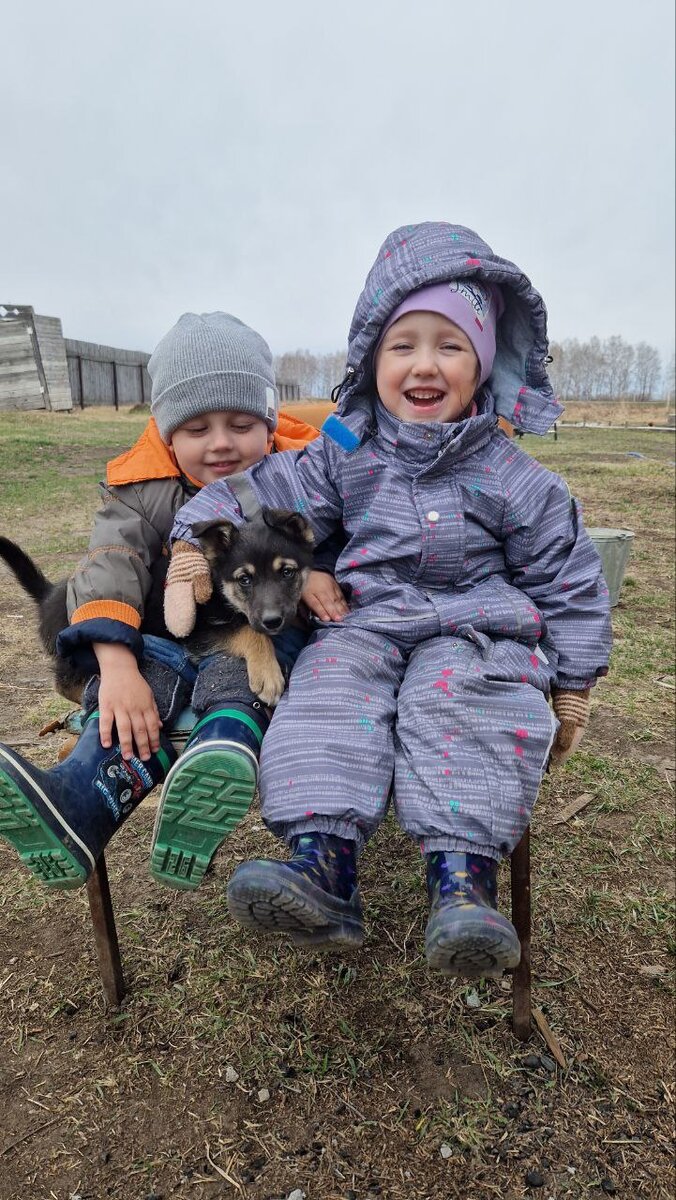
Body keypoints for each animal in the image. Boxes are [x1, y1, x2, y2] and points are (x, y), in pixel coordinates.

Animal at [0, 504, 314, 700]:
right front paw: (267, 674)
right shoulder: (197, 634)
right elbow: (249, 631)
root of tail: (49, 594)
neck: (220, 589)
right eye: (244, 579)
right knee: (63, 681)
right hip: (76, 650)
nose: (273, 621)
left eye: (287, 572)